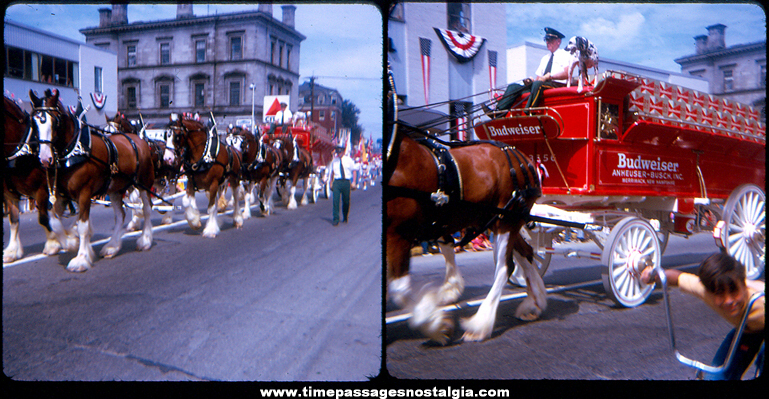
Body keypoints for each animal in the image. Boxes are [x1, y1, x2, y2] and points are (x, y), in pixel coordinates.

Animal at [3, 95, 62, 260]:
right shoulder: (9, 193)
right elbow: (14, 220)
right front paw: (12, 251)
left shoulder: (41, 190)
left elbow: (42, 218)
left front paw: (52, 244)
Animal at [31, 90, 154, 272]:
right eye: (34, 122)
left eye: (55, 122)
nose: (45, 158)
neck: (74, 152)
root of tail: (139, 140)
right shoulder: (59, 195)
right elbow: (54, 221)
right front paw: (71, 242)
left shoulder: (84, 193)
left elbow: (83, 226)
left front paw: (81, 258)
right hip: (115, 188)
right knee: (120, 215)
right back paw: (112, 246)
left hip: (143, 184)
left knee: (146, 209)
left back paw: (145, 240)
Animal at [384, 125, 544, 344]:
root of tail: (523, 158)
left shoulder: (399, 233)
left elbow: (399, 289)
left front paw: (437, 326)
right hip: (496, 221)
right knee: (526, 253)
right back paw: (534, 304)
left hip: (506, 220)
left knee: (505, 267)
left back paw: (480, 324)